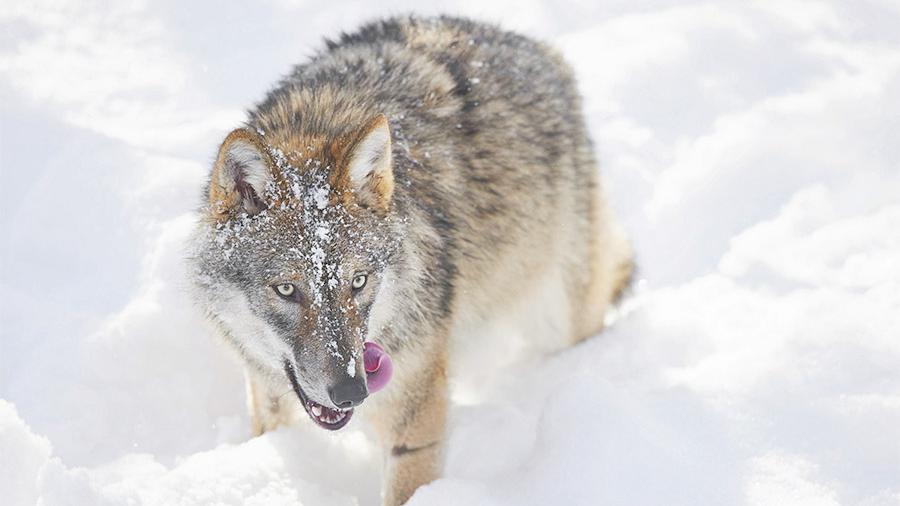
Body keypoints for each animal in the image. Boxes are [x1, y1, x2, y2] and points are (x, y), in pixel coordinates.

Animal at [186, 13, 628, 504]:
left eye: (358, 282)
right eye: (286, 289)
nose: (351, 391)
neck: (316, 122)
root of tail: (539, 49)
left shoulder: (414, 418)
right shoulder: (266, 392)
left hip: (558, 317)